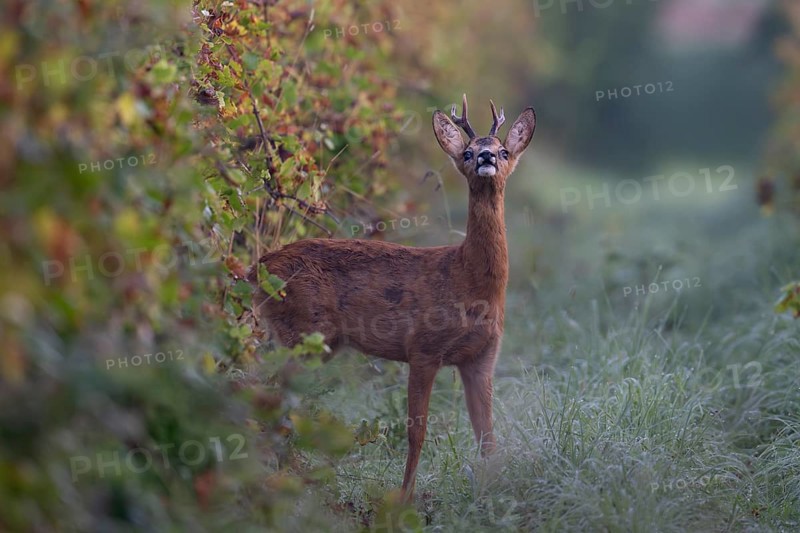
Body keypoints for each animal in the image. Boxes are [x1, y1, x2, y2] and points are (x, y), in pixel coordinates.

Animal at [248, 95, 536, 502]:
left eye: (504, 150)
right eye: (466, 151)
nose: (485, 157)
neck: (469, 283)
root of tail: (256, 268)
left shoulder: (482, 357)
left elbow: (487, 437)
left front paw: (492, 494)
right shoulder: (424, 347)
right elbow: (418, 432)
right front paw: (403, 499)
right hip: (302, 326)